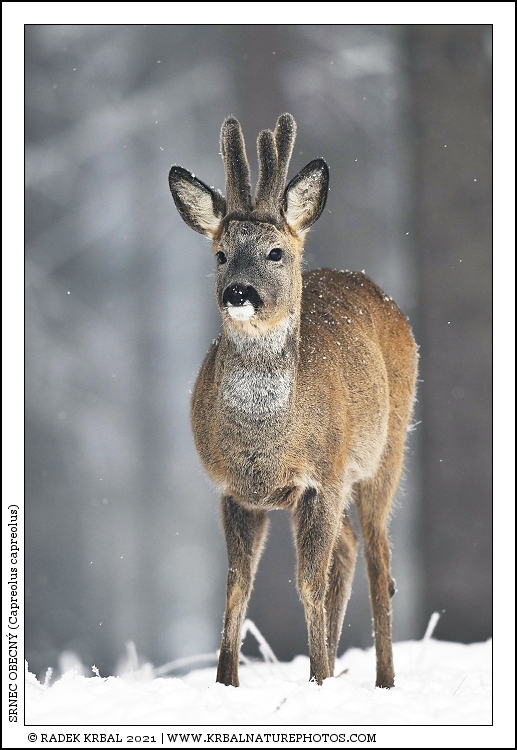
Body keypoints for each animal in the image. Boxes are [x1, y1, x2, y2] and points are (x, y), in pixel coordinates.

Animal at [168, 113, 418, 689]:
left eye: (275, 252)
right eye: (220, 253)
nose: (238, 292)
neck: (267, 440)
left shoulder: (320, 477)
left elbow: (307, 583)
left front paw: (319, 680)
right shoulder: (234, 489)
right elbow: (238, 584)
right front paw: (226, 683)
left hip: (384, 453)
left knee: (378, 557)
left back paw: (382, 680)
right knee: (348, 548)